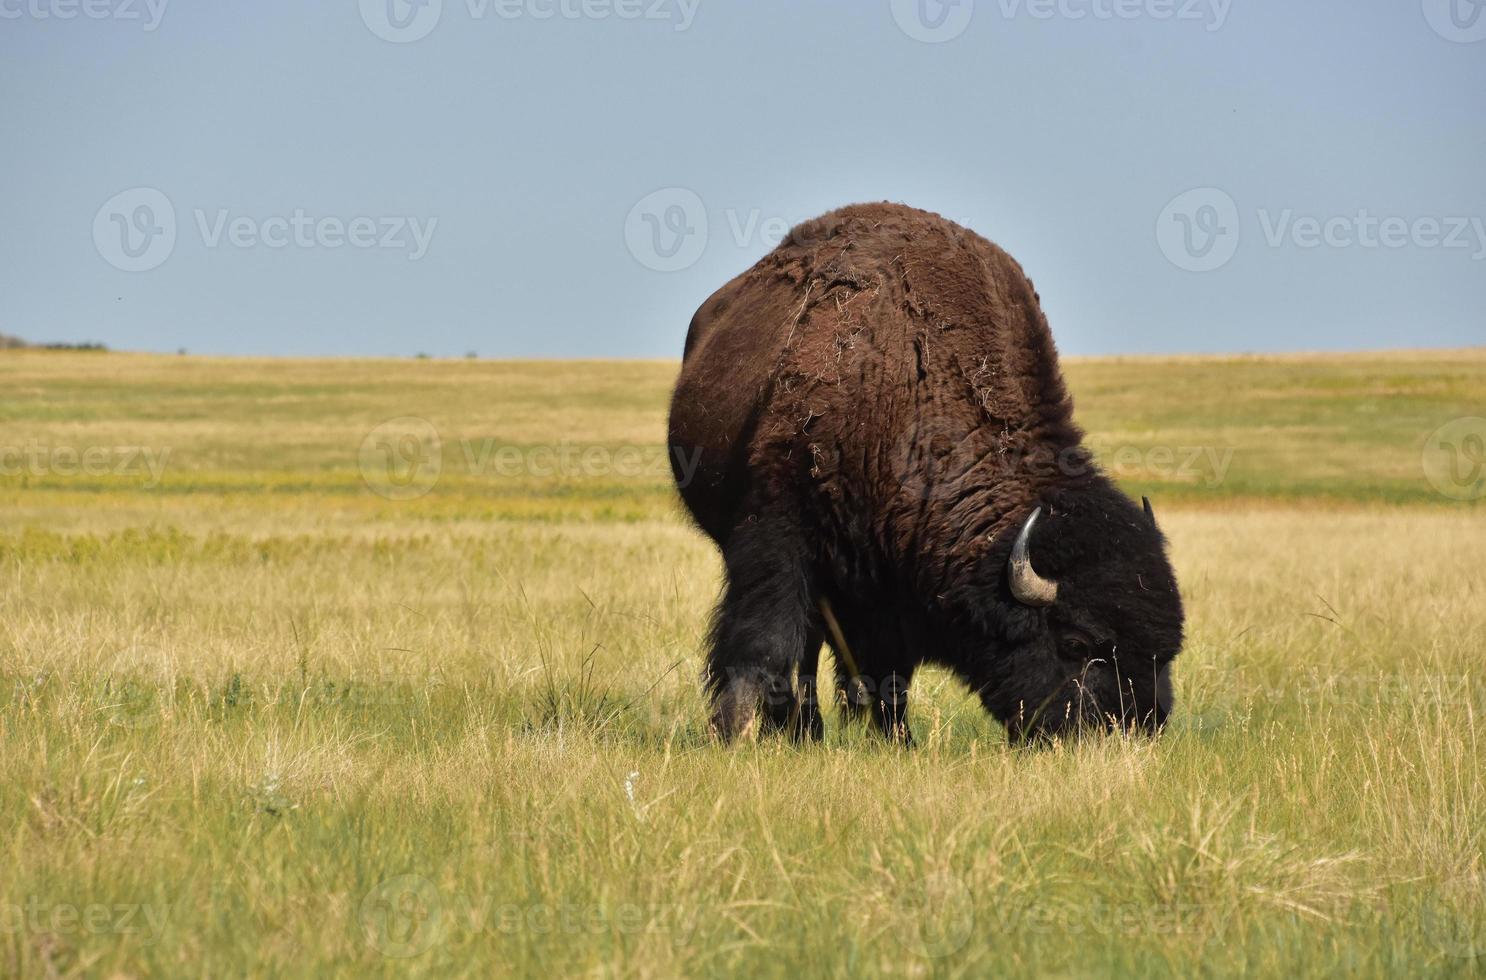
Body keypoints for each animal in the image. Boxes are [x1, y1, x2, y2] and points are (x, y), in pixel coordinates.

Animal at [671, 205, 1182, 743]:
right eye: (1078, 645)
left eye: (1164, 653)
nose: (1139, 726)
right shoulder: (778, 536)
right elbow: (765, 641)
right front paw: (730, 732)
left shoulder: (891, 588)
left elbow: (889, 671)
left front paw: (896, 739)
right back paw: (798, 728)